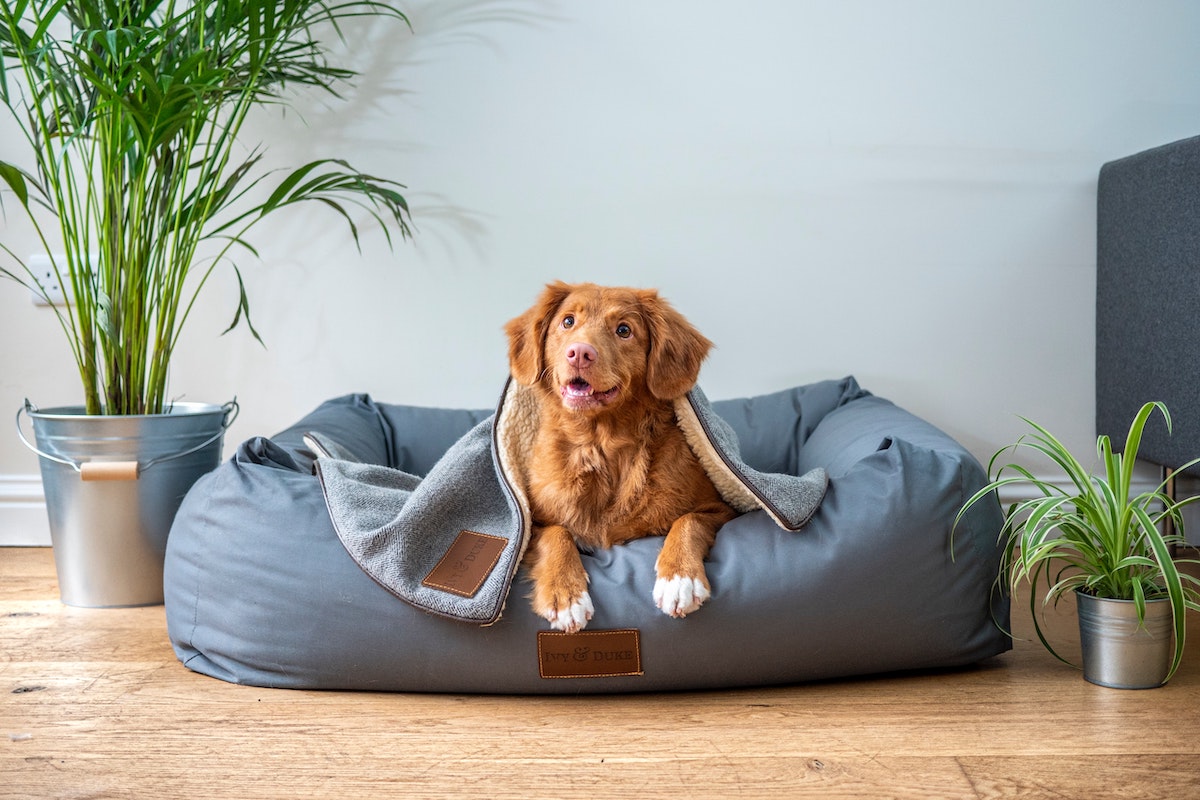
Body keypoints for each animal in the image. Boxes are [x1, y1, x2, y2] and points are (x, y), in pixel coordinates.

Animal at [501, 281, 734, 633]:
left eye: (624, 330)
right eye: (568, 322)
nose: (579, 353)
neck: (600, 444)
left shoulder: (721, 509)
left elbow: (689, 520)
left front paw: (679, 578)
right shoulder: (530, 523)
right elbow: (556, 533)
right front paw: (566, 594)